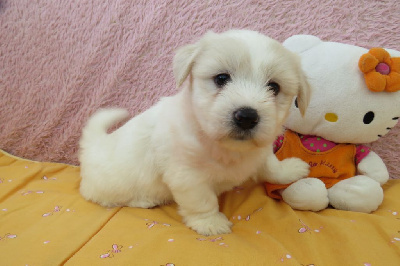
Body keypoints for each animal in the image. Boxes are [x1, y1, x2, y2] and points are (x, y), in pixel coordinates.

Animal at [78, 30, 310, 236]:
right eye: (221, 78)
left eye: (274, 87)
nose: (246, 116)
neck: (223, 146)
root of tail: (94, 146)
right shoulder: (188, 177)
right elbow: (203, 200)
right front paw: (210, 223)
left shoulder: (261, 151)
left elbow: (271, 165)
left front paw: (290, 169)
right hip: (108, 187)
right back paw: (144, 200)